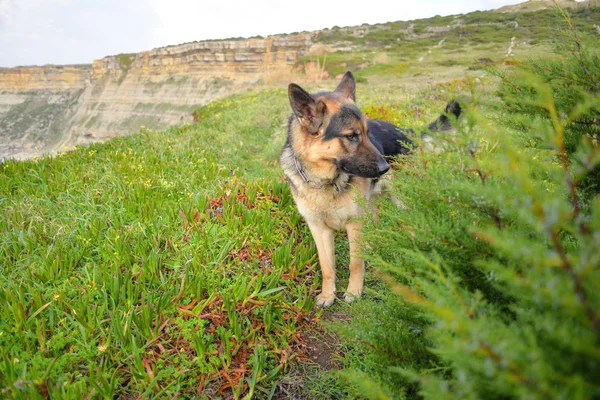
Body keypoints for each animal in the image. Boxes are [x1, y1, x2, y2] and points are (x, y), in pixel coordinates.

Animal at [280, 71, 460, 306]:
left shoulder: (354, 223)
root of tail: (407, 131)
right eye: (351, 136)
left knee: (413, 222)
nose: (385, 167)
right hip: (370, 205)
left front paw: (354, 291)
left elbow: (355, 263)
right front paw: (328, 295)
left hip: (401, 202)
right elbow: (327, 266)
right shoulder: (319, 228)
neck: (324, 181)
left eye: (366, 133)